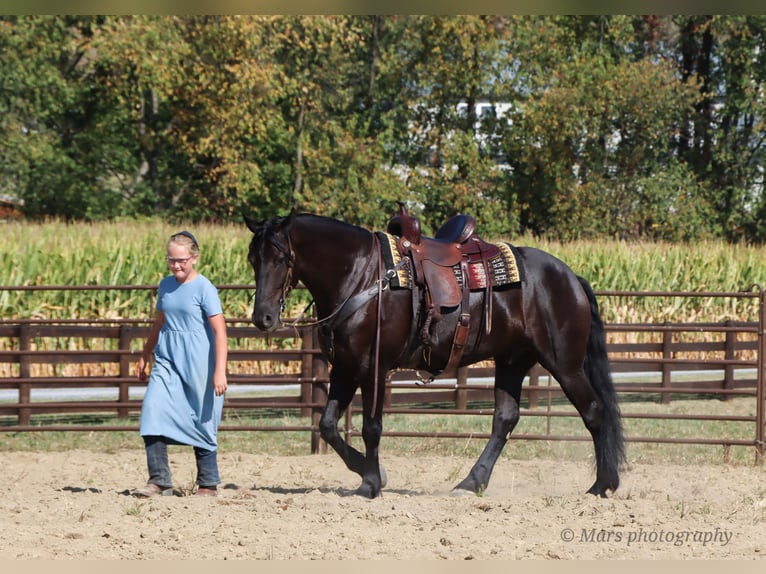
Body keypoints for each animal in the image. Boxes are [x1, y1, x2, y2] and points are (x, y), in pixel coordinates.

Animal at [244, 210, 625, 499]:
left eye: (281, 258)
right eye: (252, 259)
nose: (263, 318)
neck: (362, 275)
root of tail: (571, 277)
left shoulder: (373, 369)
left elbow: (371, 427)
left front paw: (370, 484)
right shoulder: (345, 368)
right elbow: (326, 426)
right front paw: (370, 473)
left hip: (565, 364)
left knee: (594, 412)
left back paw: (602, 485)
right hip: (512, 362)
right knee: (505, 419)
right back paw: (471, 482)